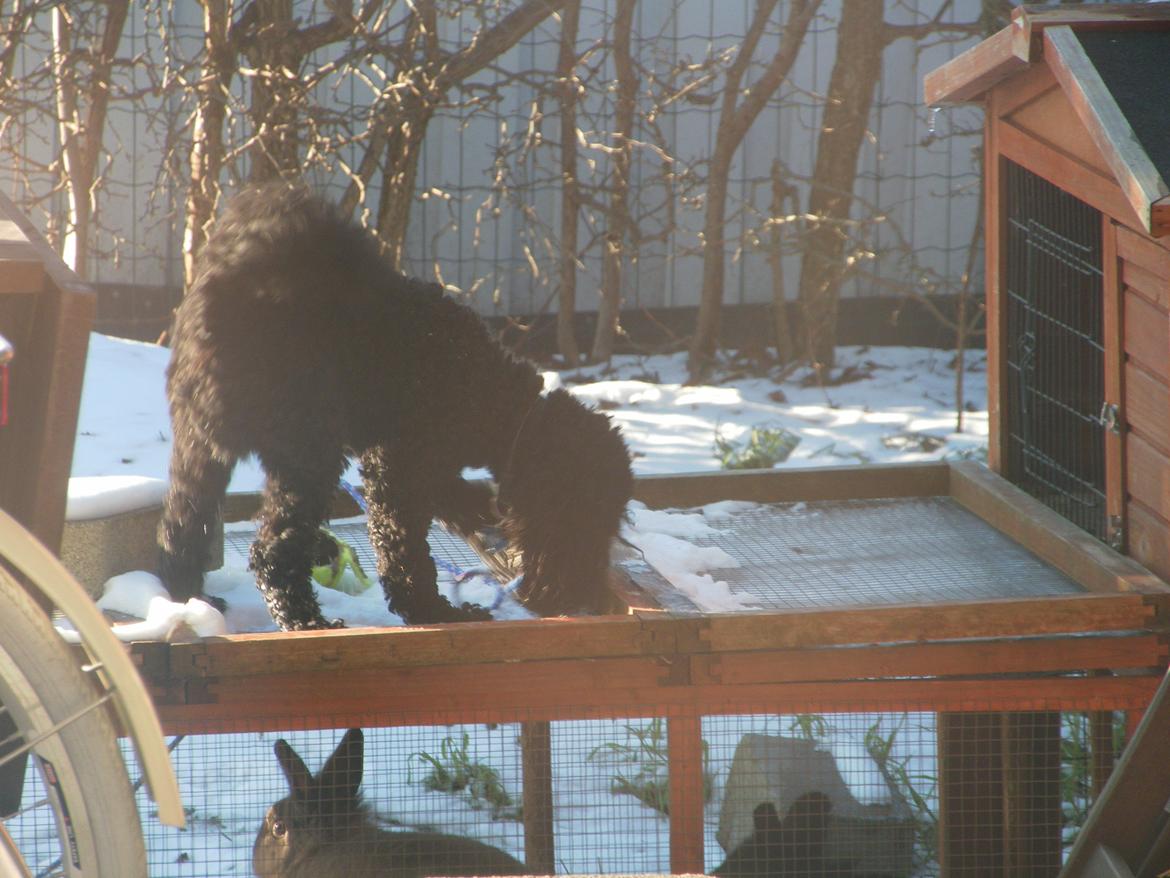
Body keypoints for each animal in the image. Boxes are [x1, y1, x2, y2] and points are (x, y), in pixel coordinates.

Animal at [157, 182, 631, 627]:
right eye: (581, 515)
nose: (585, 595)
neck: (493, 398)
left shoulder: (420, 462)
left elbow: (453, 497)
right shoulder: (397, 469)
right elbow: (405, 553)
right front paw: (431, 610)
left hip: (201, 447)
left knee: (182, 526)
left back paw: (191, 594)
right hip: (308, 452)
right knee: (271, 548)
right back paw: (304, 619)